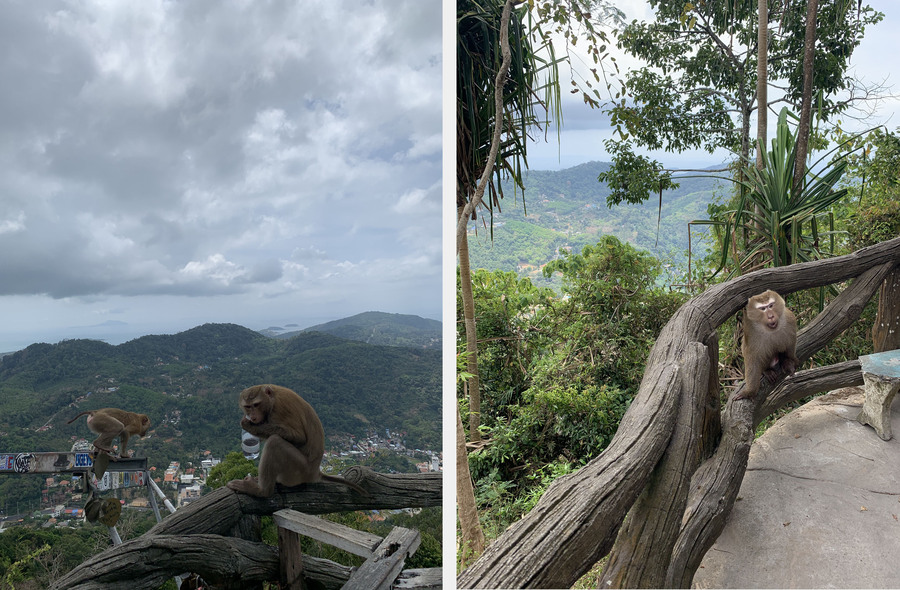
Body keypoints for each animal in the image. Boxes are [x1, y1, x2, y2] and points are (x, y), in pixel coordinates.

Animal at [229, 384, 370, 500]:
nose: (252, 416)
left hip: (299, 470)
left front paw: (248, 425)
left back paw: (261, 491)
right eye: (248, 407)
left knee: (275, 442)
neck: (272, 399)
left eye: (256, 405)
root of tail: (315, 473)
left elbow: (299, 437)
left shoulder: (280, 409)